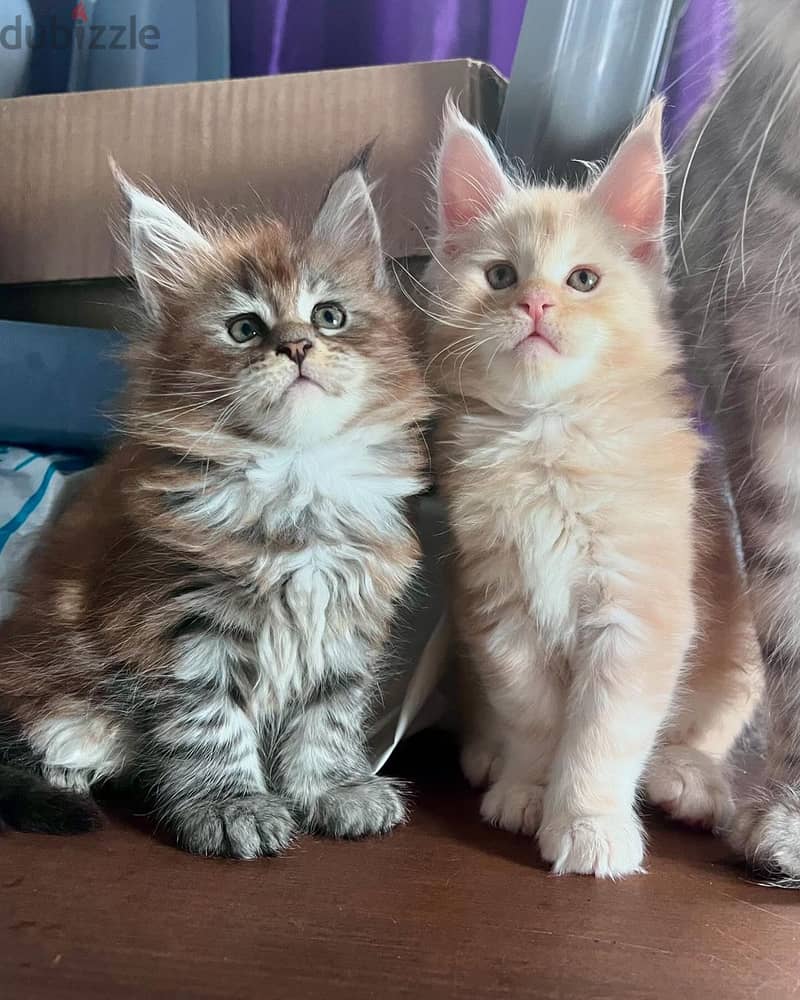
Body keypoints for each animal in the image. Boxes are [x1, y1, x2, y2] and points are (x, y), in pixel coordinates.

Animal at [0, 158, 432, 860]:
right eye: (245, 329)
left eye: (329, 316)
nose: (297, 346)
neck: (294, 478)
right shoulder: (181, 624)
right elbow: (211, 726)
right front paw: (232, 806)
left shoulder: (345, 622)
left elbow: (328, 717)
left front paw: (333, 788)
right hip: (62, 694)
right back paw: (64, 773)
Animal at [424, 101, 764, 880]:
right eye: (500, 276)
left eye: (582, 281)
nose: (536, 303)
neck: (549, 440)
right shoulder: (501, 611)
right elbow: (535, 717)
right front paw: (530, 788)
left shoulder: (639, 612)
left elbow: (603, 735)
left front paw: (588, 822)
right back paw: (489, 757)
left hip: (739, 651)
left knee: (703, 732)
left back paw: (686, 780)